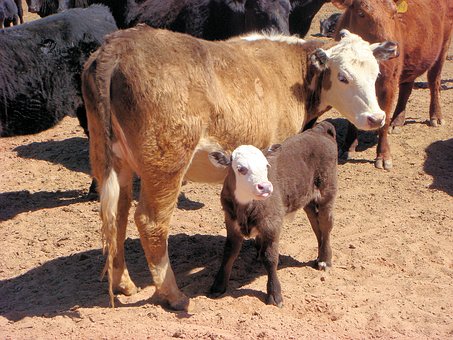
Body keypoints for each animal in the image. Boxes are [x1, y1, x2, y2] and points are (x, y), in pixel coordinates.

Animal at [207, 121, 338, 306]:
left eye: (266, 166)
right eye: (241, 169)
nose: (266, 187)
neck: (246, 207)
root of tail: (319, 130)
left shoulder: (272, 223)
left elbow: (270, 257)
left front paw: (274, 294)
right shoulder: (231, 221)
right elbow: (229, 252)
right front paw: (218, 286)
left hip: (327, 191)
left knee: (326, 225)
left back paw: (325, 260)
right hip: (308, 199)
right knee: (316, 224)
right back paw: (319, 256)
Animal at [332, 0, 452, 170]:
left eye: (394, 13)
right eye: (361, 13)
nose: (392, 48)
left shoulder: (388, 82)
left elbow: (385, 118)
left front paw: (383, 156)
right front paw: (348, 146)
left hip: (443, 47)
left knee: (434, 80)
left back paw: (436, 116)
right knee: (406, 88)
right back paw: (397, 121)